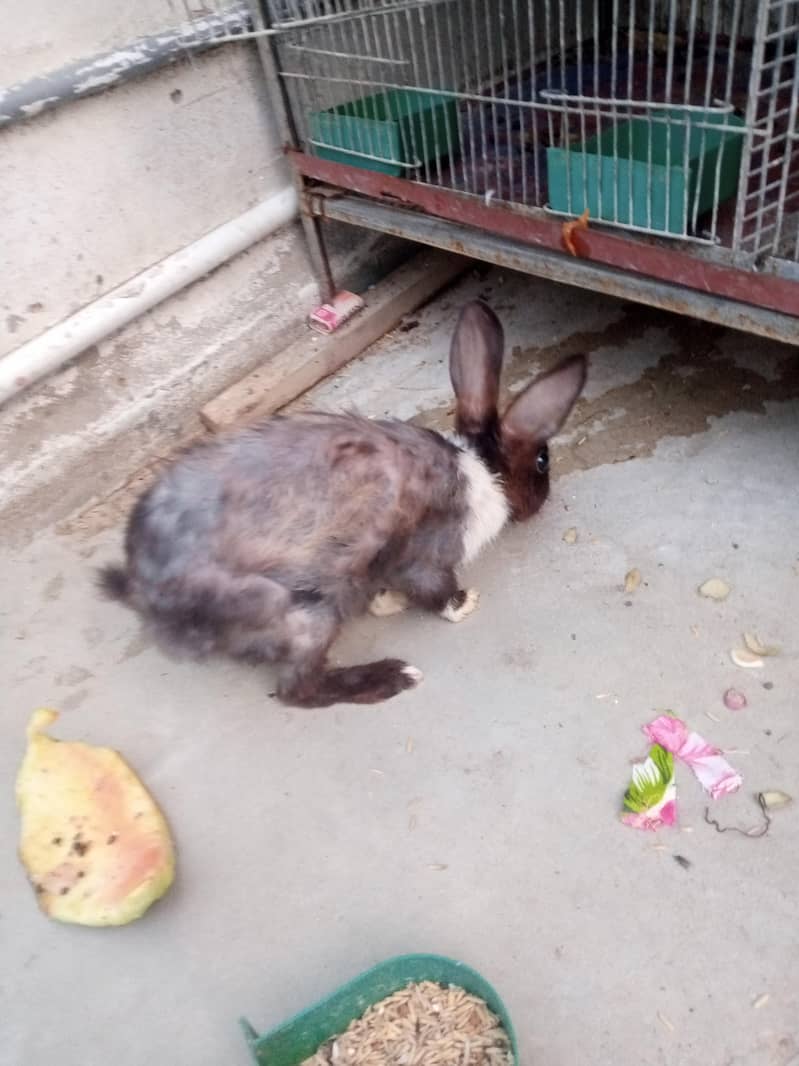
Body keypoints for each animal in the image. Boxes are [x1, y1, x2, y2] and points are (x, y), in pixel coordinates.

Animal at [98, 300, 586, 708]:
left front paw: (385, 603)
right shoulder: (428, 554)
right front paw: (464, 604)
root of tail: (143, 592)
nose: (544, 500)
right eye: (542, 461)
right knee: (297, 689)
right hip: (304, 612)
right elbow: (434, 590)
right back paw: (395, 676)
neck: (482, 469)